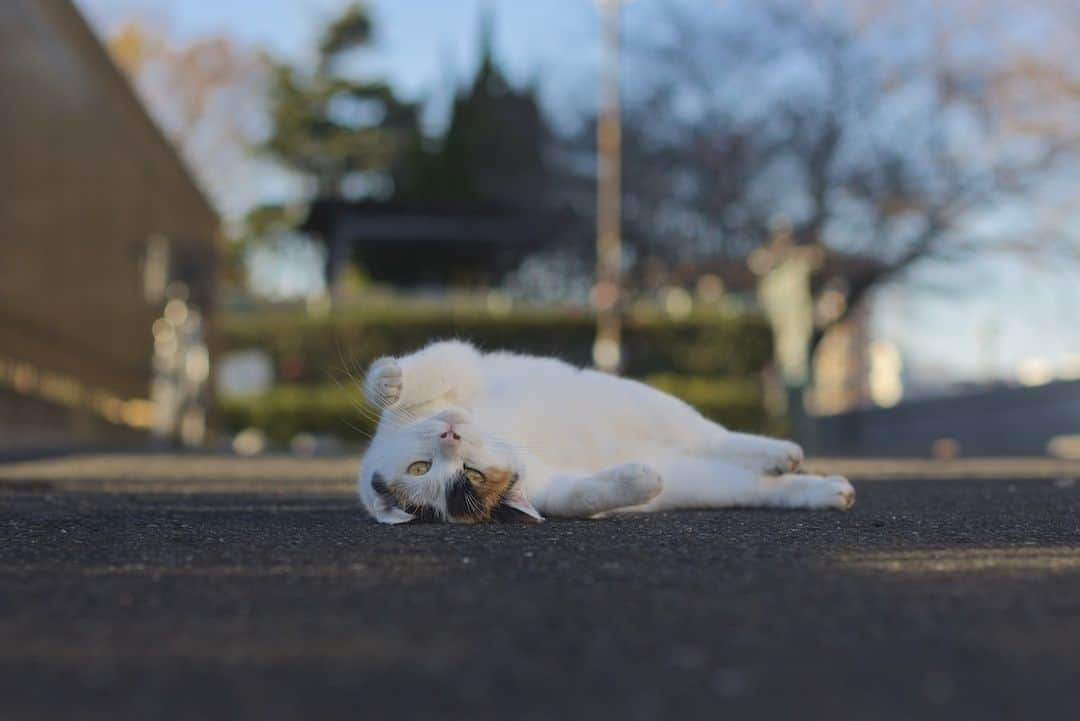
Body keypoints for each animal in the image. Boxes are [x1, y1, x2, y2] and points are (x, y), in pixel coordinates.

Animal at [358, 338, 855, 524]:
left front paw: (389, 381)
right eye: (423, 470)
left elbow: (421, 373)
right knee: (755, 486)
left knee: (716, 437)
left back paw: (782, 452)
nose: (452, 435)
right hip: (707, 482)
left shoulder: (456, 365)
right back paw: (828, 490)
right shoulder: (548, 490)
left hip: (650, 405)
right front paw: (641, 480)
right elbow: (582, 495)